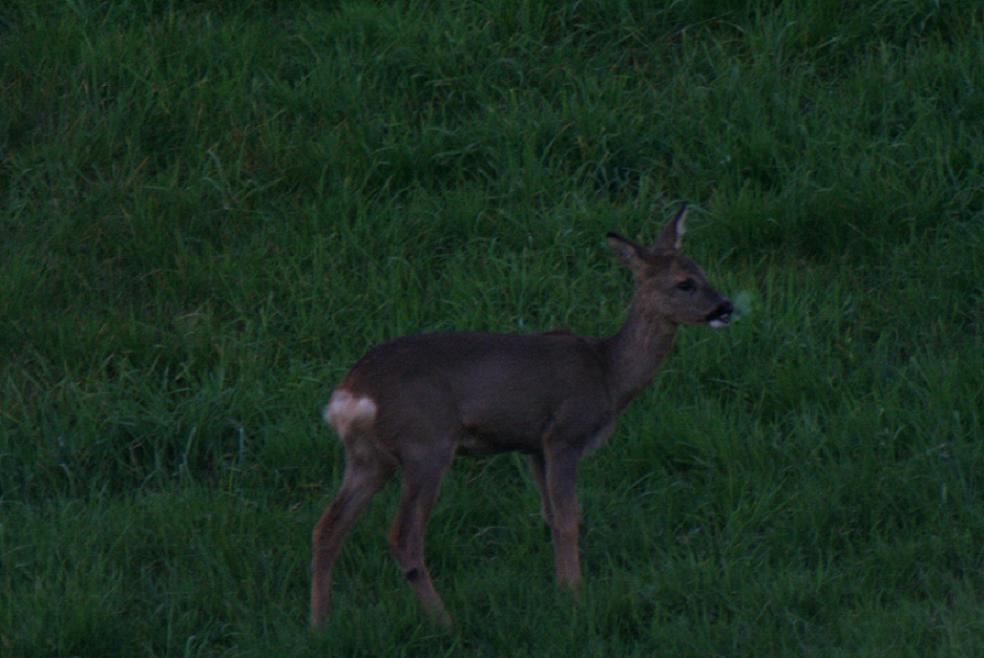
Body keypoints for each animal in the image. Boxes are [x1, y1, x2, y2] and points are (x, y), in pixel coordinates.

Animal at [308, 204, 732, 624]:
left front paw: (562, 590)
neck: (610, 375)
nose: (726, 308)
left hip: (369, 457)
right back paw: (444, 622)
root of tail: (350, 394)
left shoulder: (534, 447)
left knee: (327, 528)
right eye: (685, 283)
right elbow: (569, 518)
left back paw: (320, 624)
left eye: (703, 271)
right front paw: (576, 597)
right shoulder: (564, 435)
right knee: (403, 536)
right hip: (425, 445)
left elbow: (550, 517)